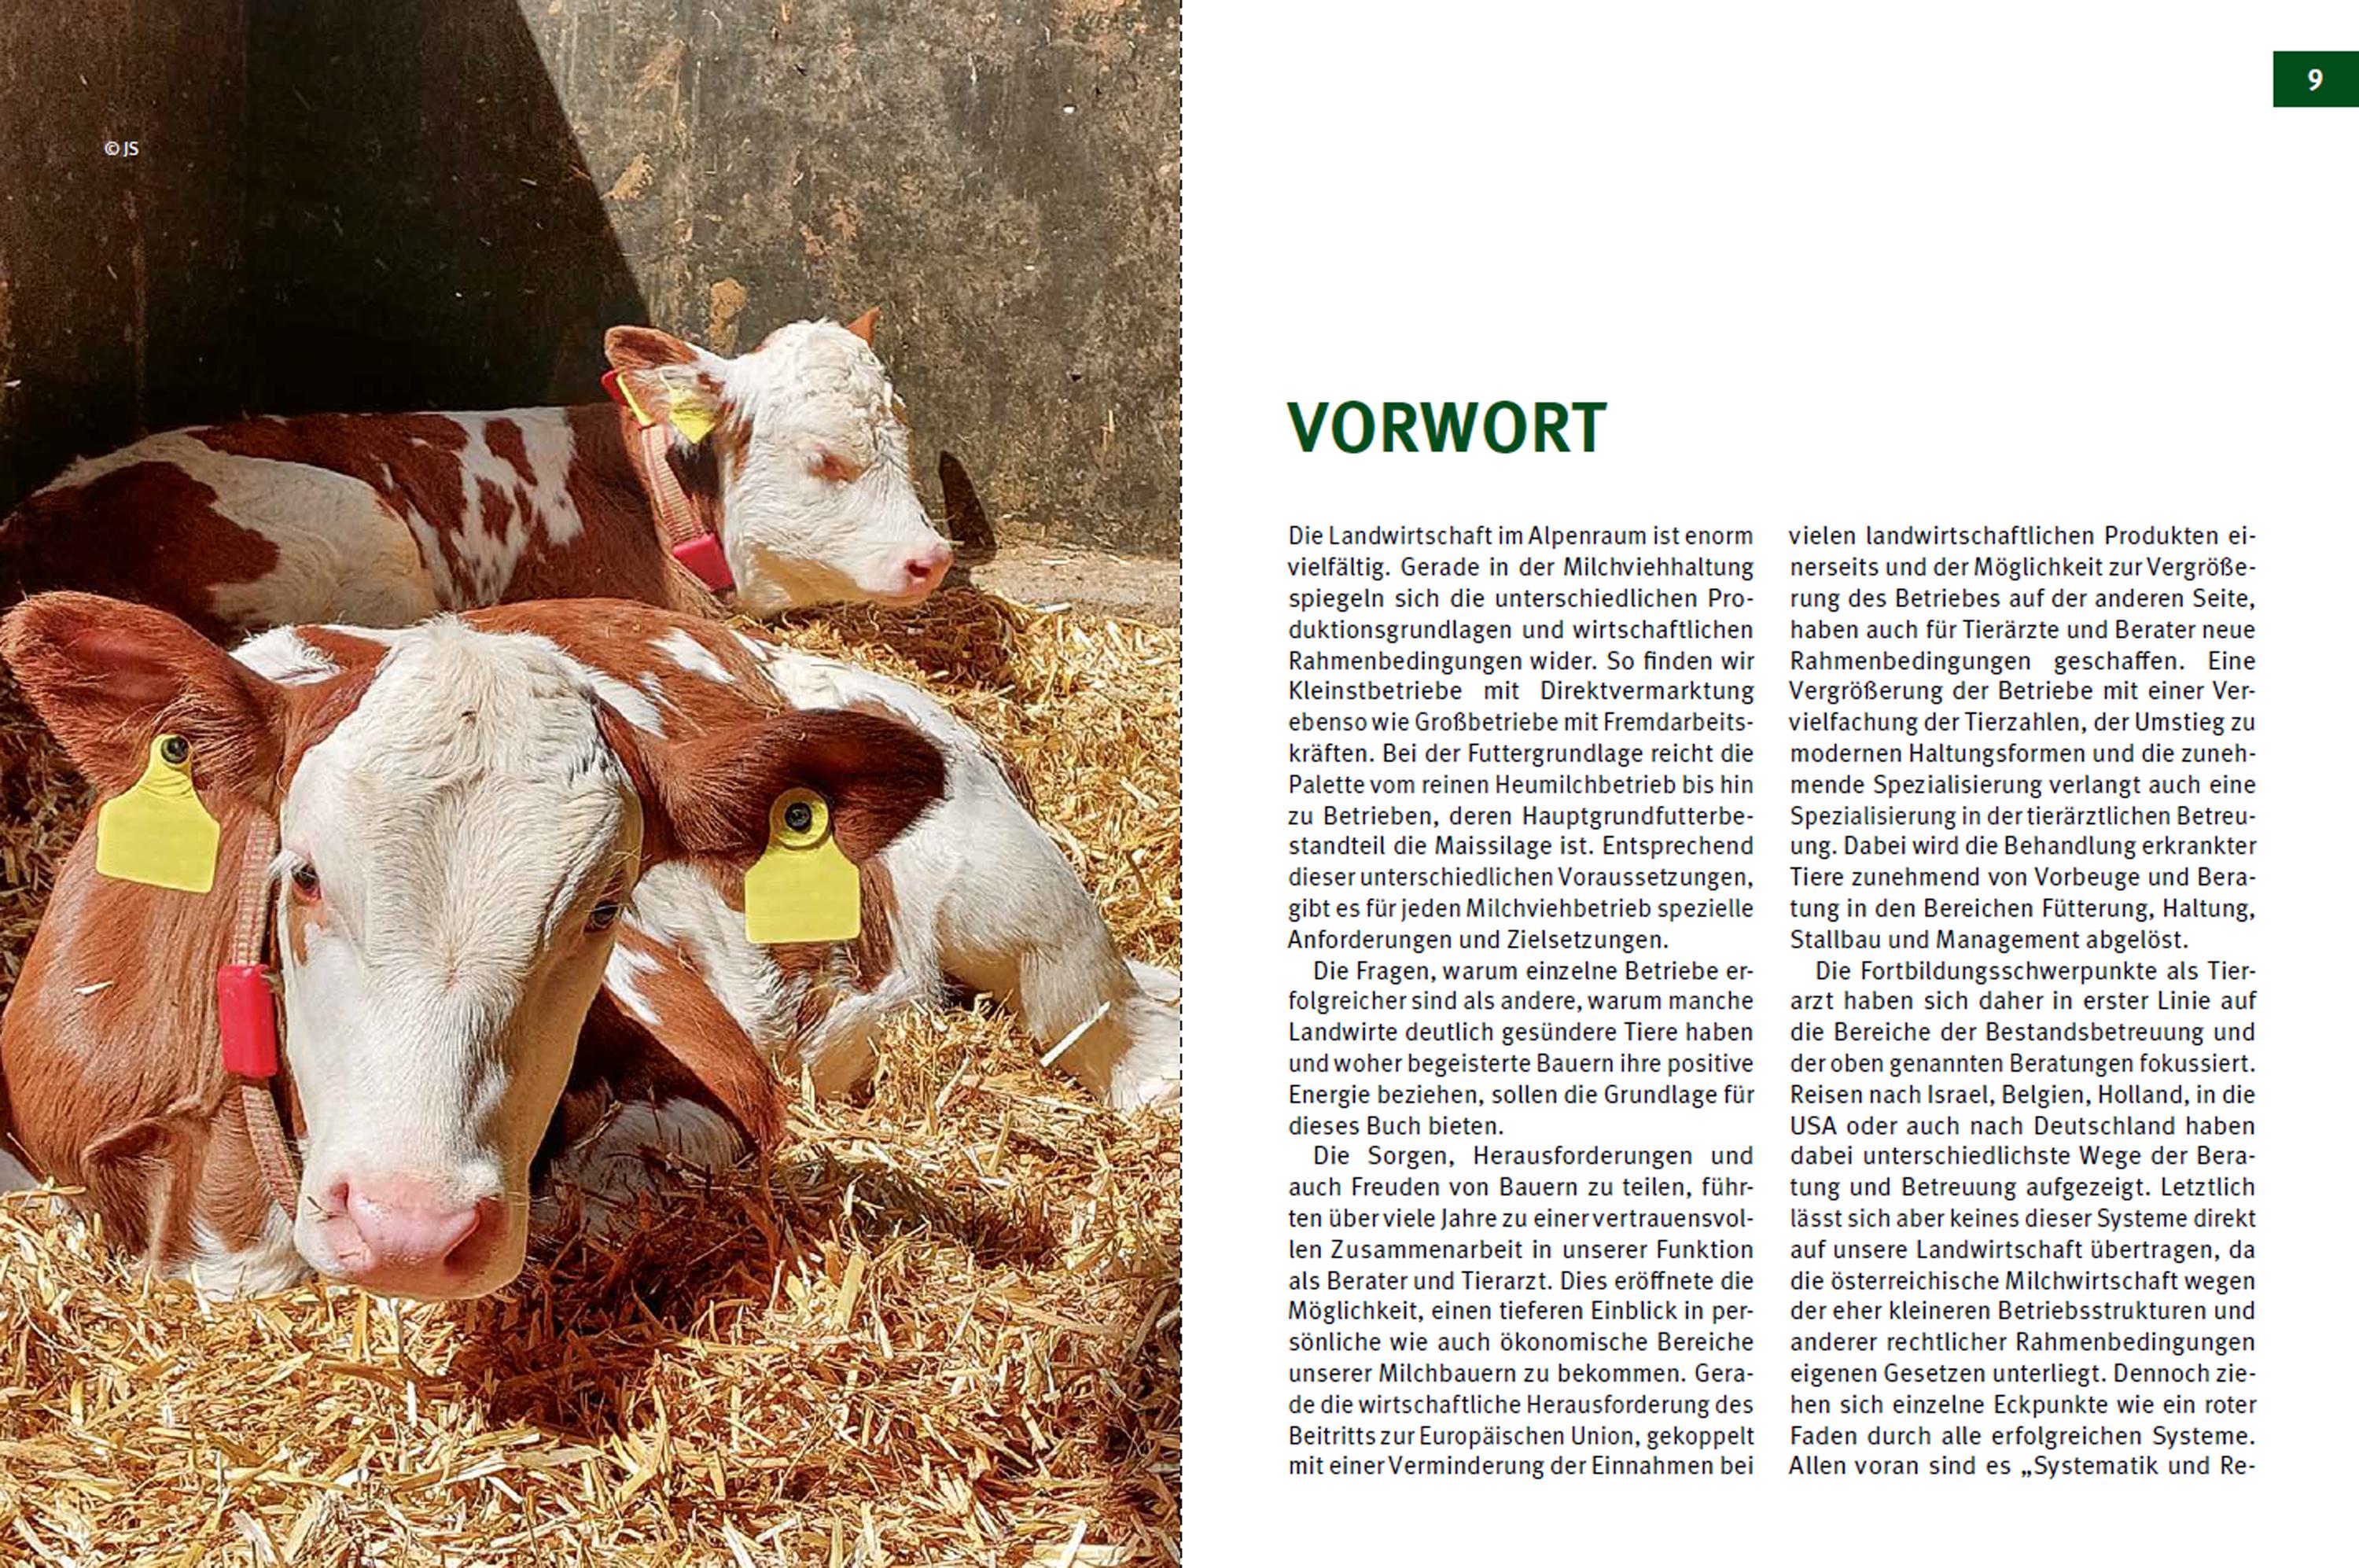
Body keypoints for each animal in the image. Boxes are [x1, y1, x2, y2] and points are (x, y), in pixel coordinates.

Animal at [0, 592, 1180, 1299]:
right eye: (305, 874)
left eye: (606, 906)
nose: (410, 1226)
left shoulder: (718, 1075)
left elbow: (597, 1195)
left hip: (1015, 896)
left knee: (1109, 1020)